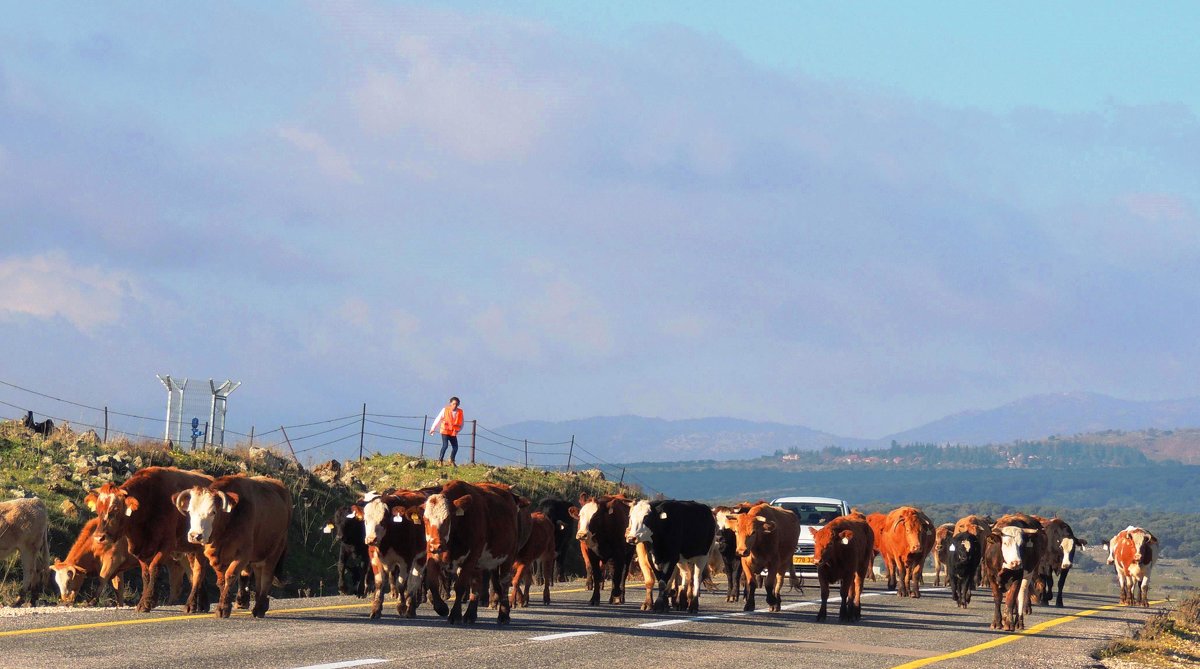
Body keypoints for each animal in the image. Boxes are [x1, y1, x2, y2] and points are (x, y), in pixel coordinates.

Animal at [85, 469, 212, 618]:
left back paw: (191, 605)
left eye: (115, 509)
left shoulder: (166, 545)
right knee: (196, 572)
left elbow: (154, 568)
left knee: (198, 572)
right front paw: (145, 601)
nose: (99, 537)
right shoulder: (141, 551)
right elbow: (145, 574)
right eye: (98, 510)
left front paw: (147, 602)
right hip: (190, 549)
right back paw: (202, 604)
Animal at [172, 474, 291, 623]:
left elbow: (230, 575)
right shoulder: (210, 555)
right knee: (259, 577)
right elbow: (211, 578)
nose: (195, 536)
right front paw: (193, 604)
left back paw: (260, 608)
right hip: (259, 556)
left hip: (275, 551)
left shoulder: (243, 555)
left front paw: (222, 608)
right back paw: (258, 603)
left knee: (266, 577)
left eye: (213, 512)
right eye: (190, 511)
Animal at [424, 479, 523, 628]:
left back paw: (504, 615)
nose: (435, 545)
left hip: (508, 556)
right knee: (477, 583)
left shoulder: (471, 557)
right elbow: (432, 582)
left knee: (504, 583)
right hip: (478, 563)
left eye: (447, 519)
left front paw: (455, 615)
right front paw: (441, 608)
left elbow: (460, 586)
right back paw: (470, 614)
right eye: (425, 519)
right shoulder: (434, 556)